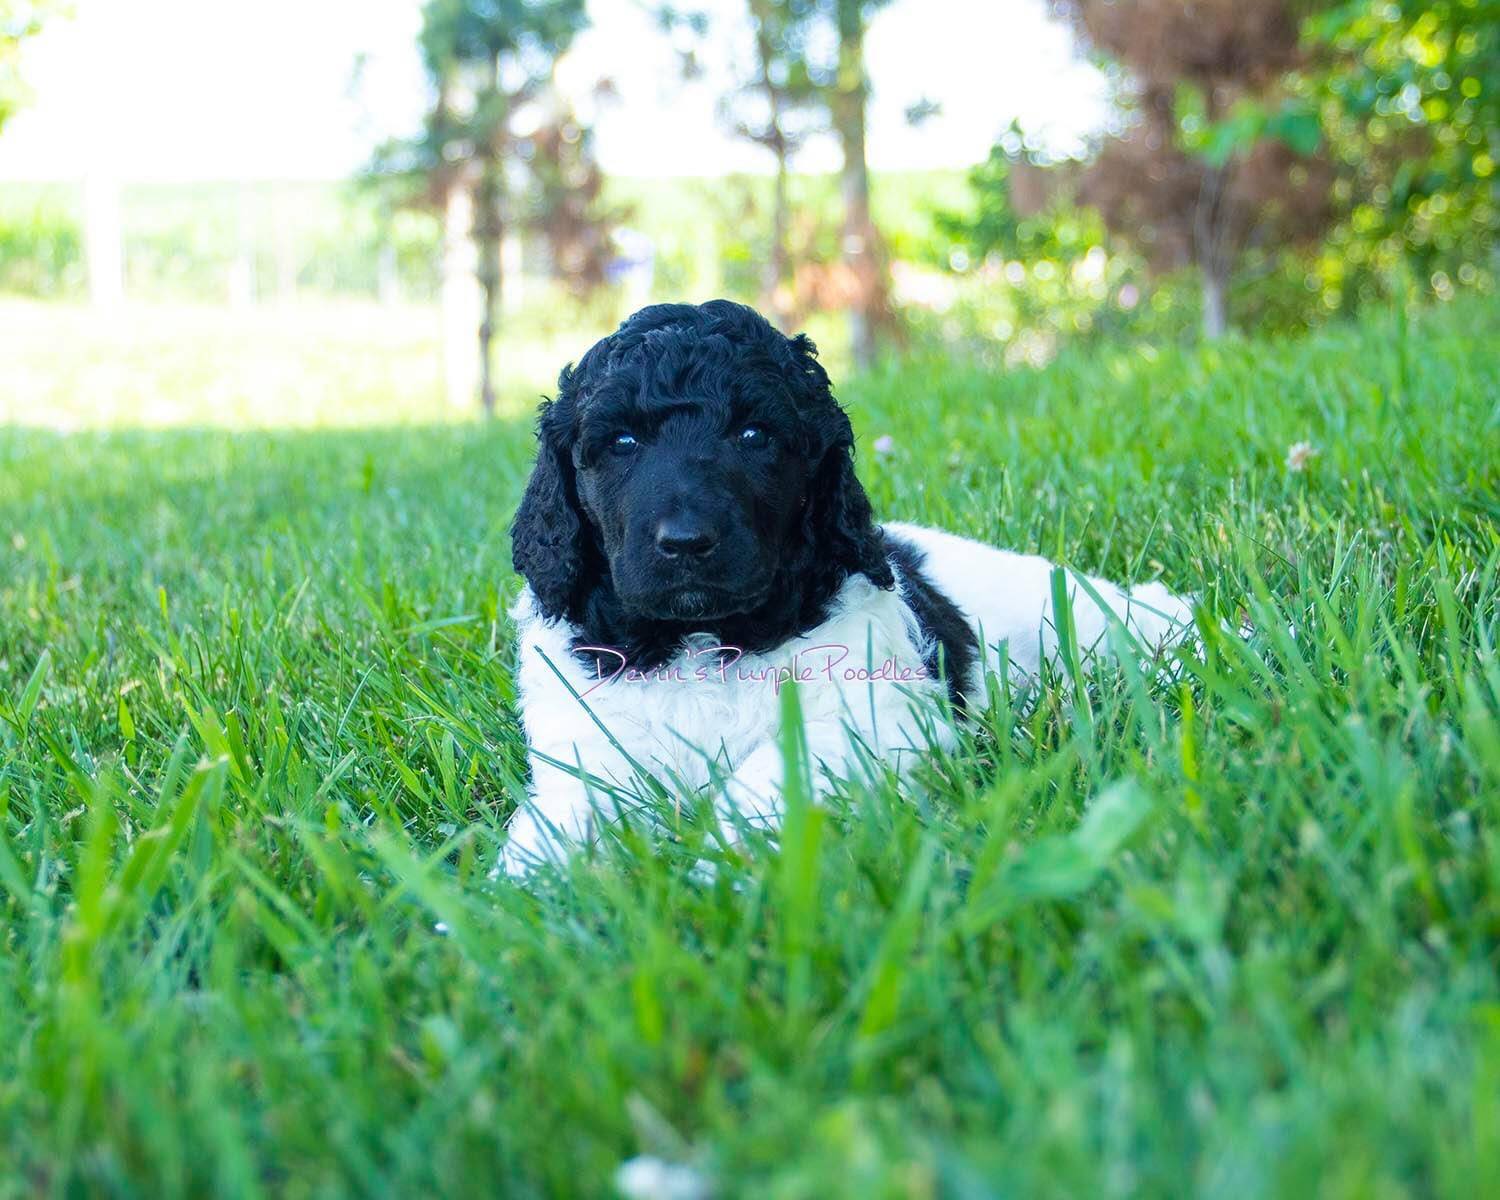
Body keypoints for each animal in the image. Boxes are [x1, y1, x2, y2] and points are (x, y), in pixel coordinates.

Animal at [502, 300, 1195, 872]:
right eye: (621, 442)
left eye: (753, 436)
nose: (687, 542)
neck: (700, 639)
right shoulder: (584, 741)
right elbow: (561, 814)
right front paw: (525, 890)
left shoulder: (875, 716)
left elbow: (769, 773)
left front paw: (721, 869)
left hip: (1068, 611)